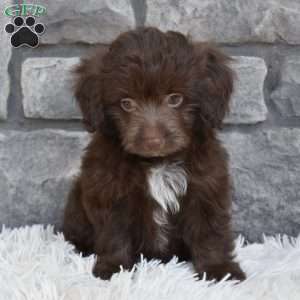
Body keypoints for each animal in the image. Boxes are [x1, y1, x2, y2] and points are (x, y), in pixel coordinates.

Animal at [62, 26, 245, 282]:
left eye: (175, 98)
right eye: (126, 103)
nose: (153, 141)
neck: (157, 162)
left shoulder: (206, 186)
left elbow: (210, 230)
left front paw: (219, 270)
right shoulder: (108, 190)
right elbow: (114, 231)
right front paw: (114, 268)